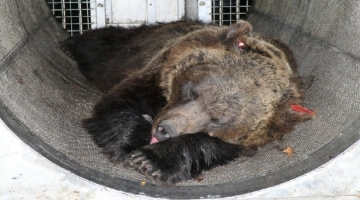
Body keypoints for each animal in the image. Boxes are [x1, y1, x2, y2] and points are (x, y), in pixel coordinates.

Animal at [60, 19, 314, 184]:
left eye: (216, 120)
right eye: (193, 91)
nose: (164, 130)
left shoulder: (256, 133)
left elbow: (208, 145)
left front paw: (150, 160)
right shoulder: (153, 74)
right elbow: (119, 104)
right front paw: (129, 145)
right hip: (131, 48)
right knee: (104, 46)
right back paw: (70, 44)